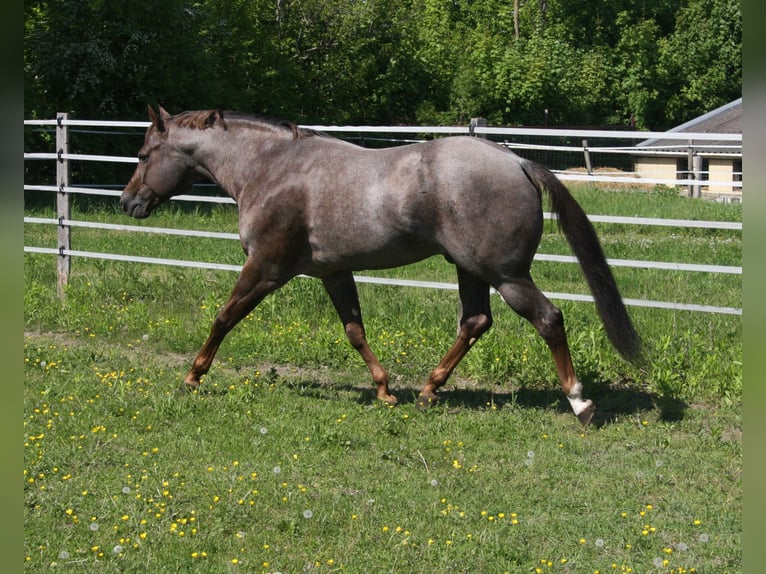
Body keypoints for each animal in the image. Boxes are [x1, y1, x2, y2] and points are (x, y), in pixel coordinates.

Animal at [120, 106, 642, 425]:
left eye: (144, 154)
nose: (128, 203)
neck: (271, 170)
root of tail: (517, 162)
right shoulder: (333, 272)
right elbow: (354, 330)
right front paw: (385, 389)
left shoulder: (265, 269)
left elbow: (224, 317)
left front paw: (193, 375)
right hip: (471, 270)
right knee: (475, 321)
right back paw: (429, 390)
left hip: (507, 276)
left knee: (548, 318)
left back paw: (580, 402)